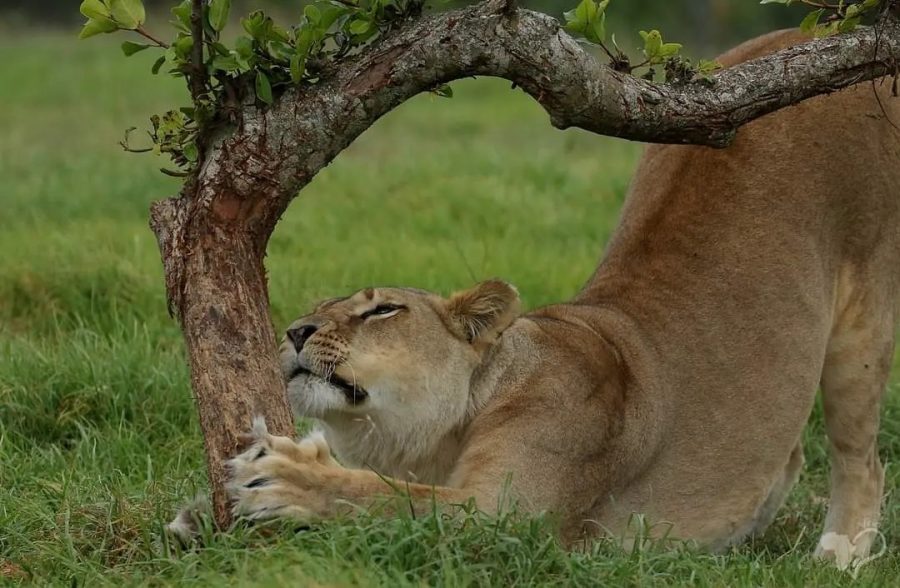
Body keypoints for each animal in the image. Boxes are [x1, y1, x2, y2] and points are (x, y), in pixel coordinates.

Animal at [218, 30, 900, 568]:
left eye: (382, 309)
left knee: (862, 457)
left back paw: (840, 552)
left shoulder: (508, 519)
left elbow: (383, 496)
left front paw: (285, 476)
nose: (295, 333)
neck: (430, 443)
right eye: (316, 309)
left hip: (862, 324)